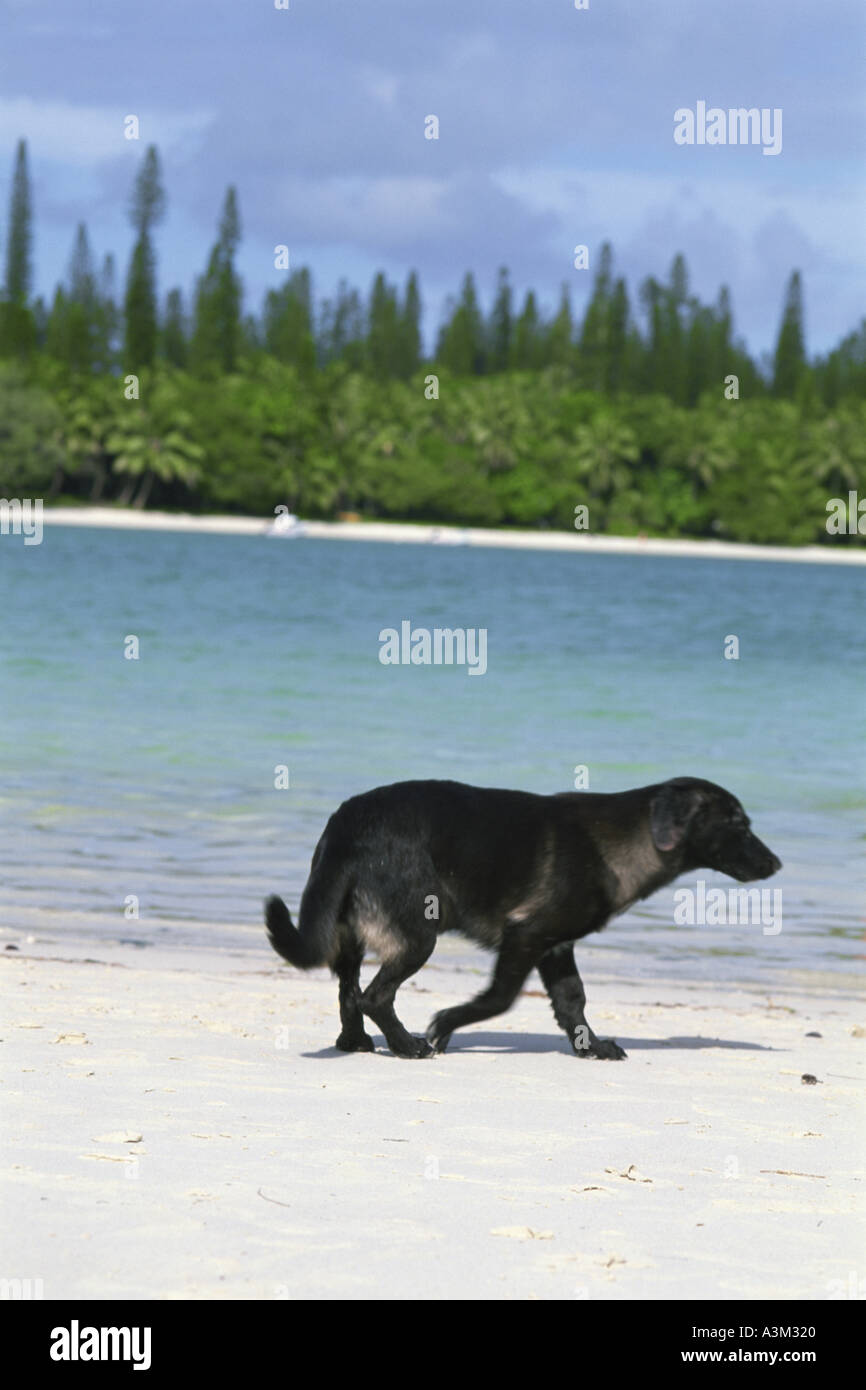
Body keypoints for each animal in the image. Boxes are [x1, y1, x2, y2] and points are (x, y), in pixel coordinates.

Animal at [262, 778, 778, 1056]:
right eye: (738, 825)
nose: (776, 864)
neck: (625, 840)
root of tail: (347, 824)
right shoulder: (525, 936)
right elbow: (500, 999)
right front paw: (445, 1025)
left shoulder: (556, 947)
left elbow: (573, 1002)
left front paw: (591, 1048)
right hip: (417, 935)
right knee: (374, 995)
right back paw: (408, 1045)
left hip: (349, 934)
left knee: (348, 992)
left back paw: (355, 1042)